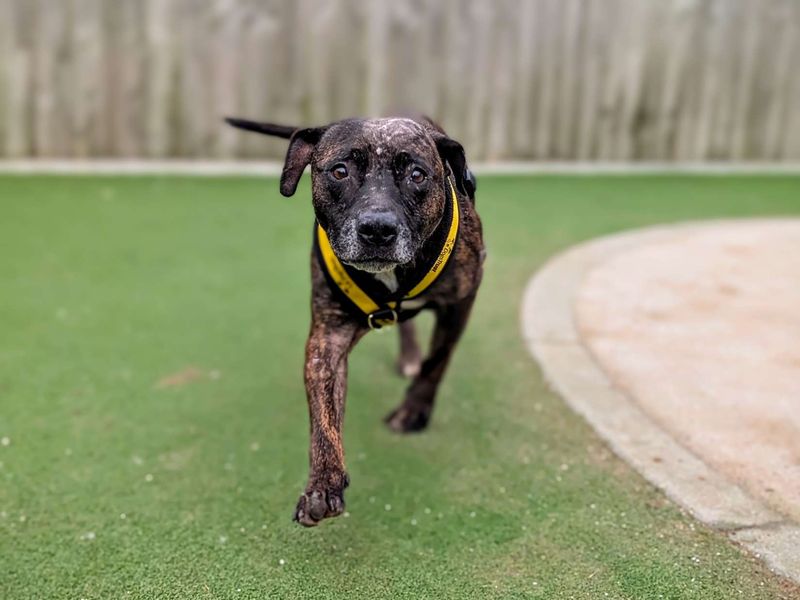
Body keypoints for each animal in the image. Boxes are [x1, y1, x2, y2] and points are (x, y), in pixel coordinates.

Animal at [228, 115, 484, 528]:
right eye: (340, 171)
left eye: (417, 174)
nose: (377, 229)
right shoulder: (328, 336)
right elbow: (324, 412)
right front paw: (323, 482)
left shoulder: (462, 301)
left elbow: (437, 361)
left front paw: (413, 411)